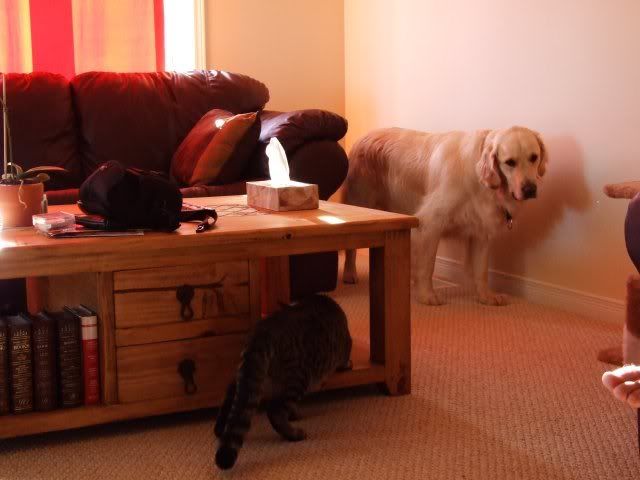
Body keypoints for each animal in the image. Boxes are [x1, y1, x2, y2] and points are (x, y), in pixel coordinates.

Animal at [214, 294, 353, 470]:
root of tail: (262, 334)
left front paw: (294, 414)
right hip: (296, 379)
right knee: (275, 412)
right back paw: (293, 434)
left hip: (247, 377)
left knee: (231, 397)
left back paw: (220, 428)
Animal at [342, 126, 548, 306]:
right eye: (510, 162)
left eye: (534, 157)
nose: (530, 189)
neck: (479, 181)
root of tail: (365, 135)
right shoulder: (430, 223)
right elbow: (427, 266)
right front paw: (427, 296)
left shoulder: (480, 231)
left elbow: (481, 270)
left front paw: (486, 297)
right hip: (361, 203)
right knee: (351, 248)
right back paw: (349, 274)